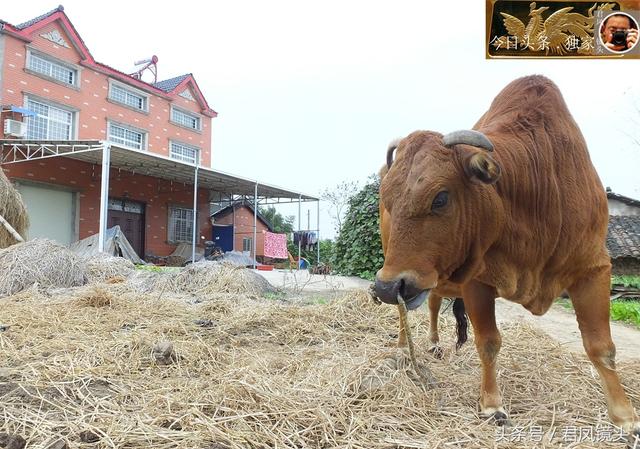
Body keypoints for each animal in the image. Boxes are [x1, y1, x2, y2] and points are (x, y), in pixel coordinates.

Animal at [376, 74, 640, 438]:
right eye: (388, 200)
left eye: (440, 197)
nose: (387, 287)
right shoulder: (476, 281)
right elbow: (488, 342)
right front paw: (492, 406)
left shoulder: (594, 269)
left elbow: (602, 347)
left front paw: (625, 416)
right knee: (405, 313)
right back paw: (405, 347)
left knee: (431, 304)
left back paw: (434, 343)